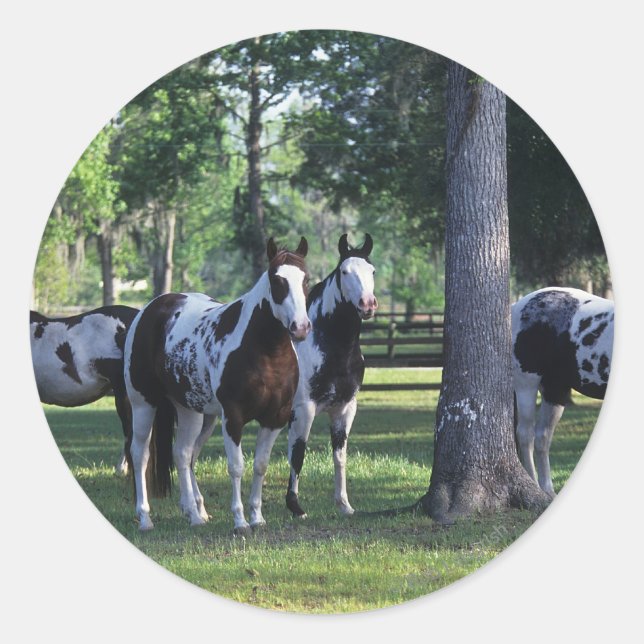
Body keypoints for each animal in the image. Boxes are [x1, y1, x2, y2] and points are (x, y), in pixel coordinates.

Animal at [124, 237, 311, 533]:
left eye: (306, 279)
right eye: (276, 279)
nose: (300, 327)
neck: (265, 352)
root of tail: (149, 311)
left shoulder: (275, 419)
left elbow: (260, 465)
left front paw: (257, 517)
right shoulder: (233, 418)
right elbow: (236, 467)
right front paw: (240, 521)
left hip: (193, 412)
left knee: (183, 454)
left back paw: (195, 515)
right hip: (143, 404)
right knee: (140, 455)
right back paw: (145, 518)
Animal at [285, 233, 377, 518]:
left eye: (372, 270)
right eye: (344, 271)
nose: (368, 304)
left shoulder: (344, 409)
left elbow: (339, 456)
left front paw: (344, 504)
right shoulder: (304, 410)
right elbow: (298, 455)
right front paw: (295, 507)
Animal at [512, 287, 613, 496]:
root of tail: (517, 305)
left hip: (555, 391)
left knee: (542, 437)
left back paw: (548, 492)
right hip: (527, 383)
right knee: (526, 435)